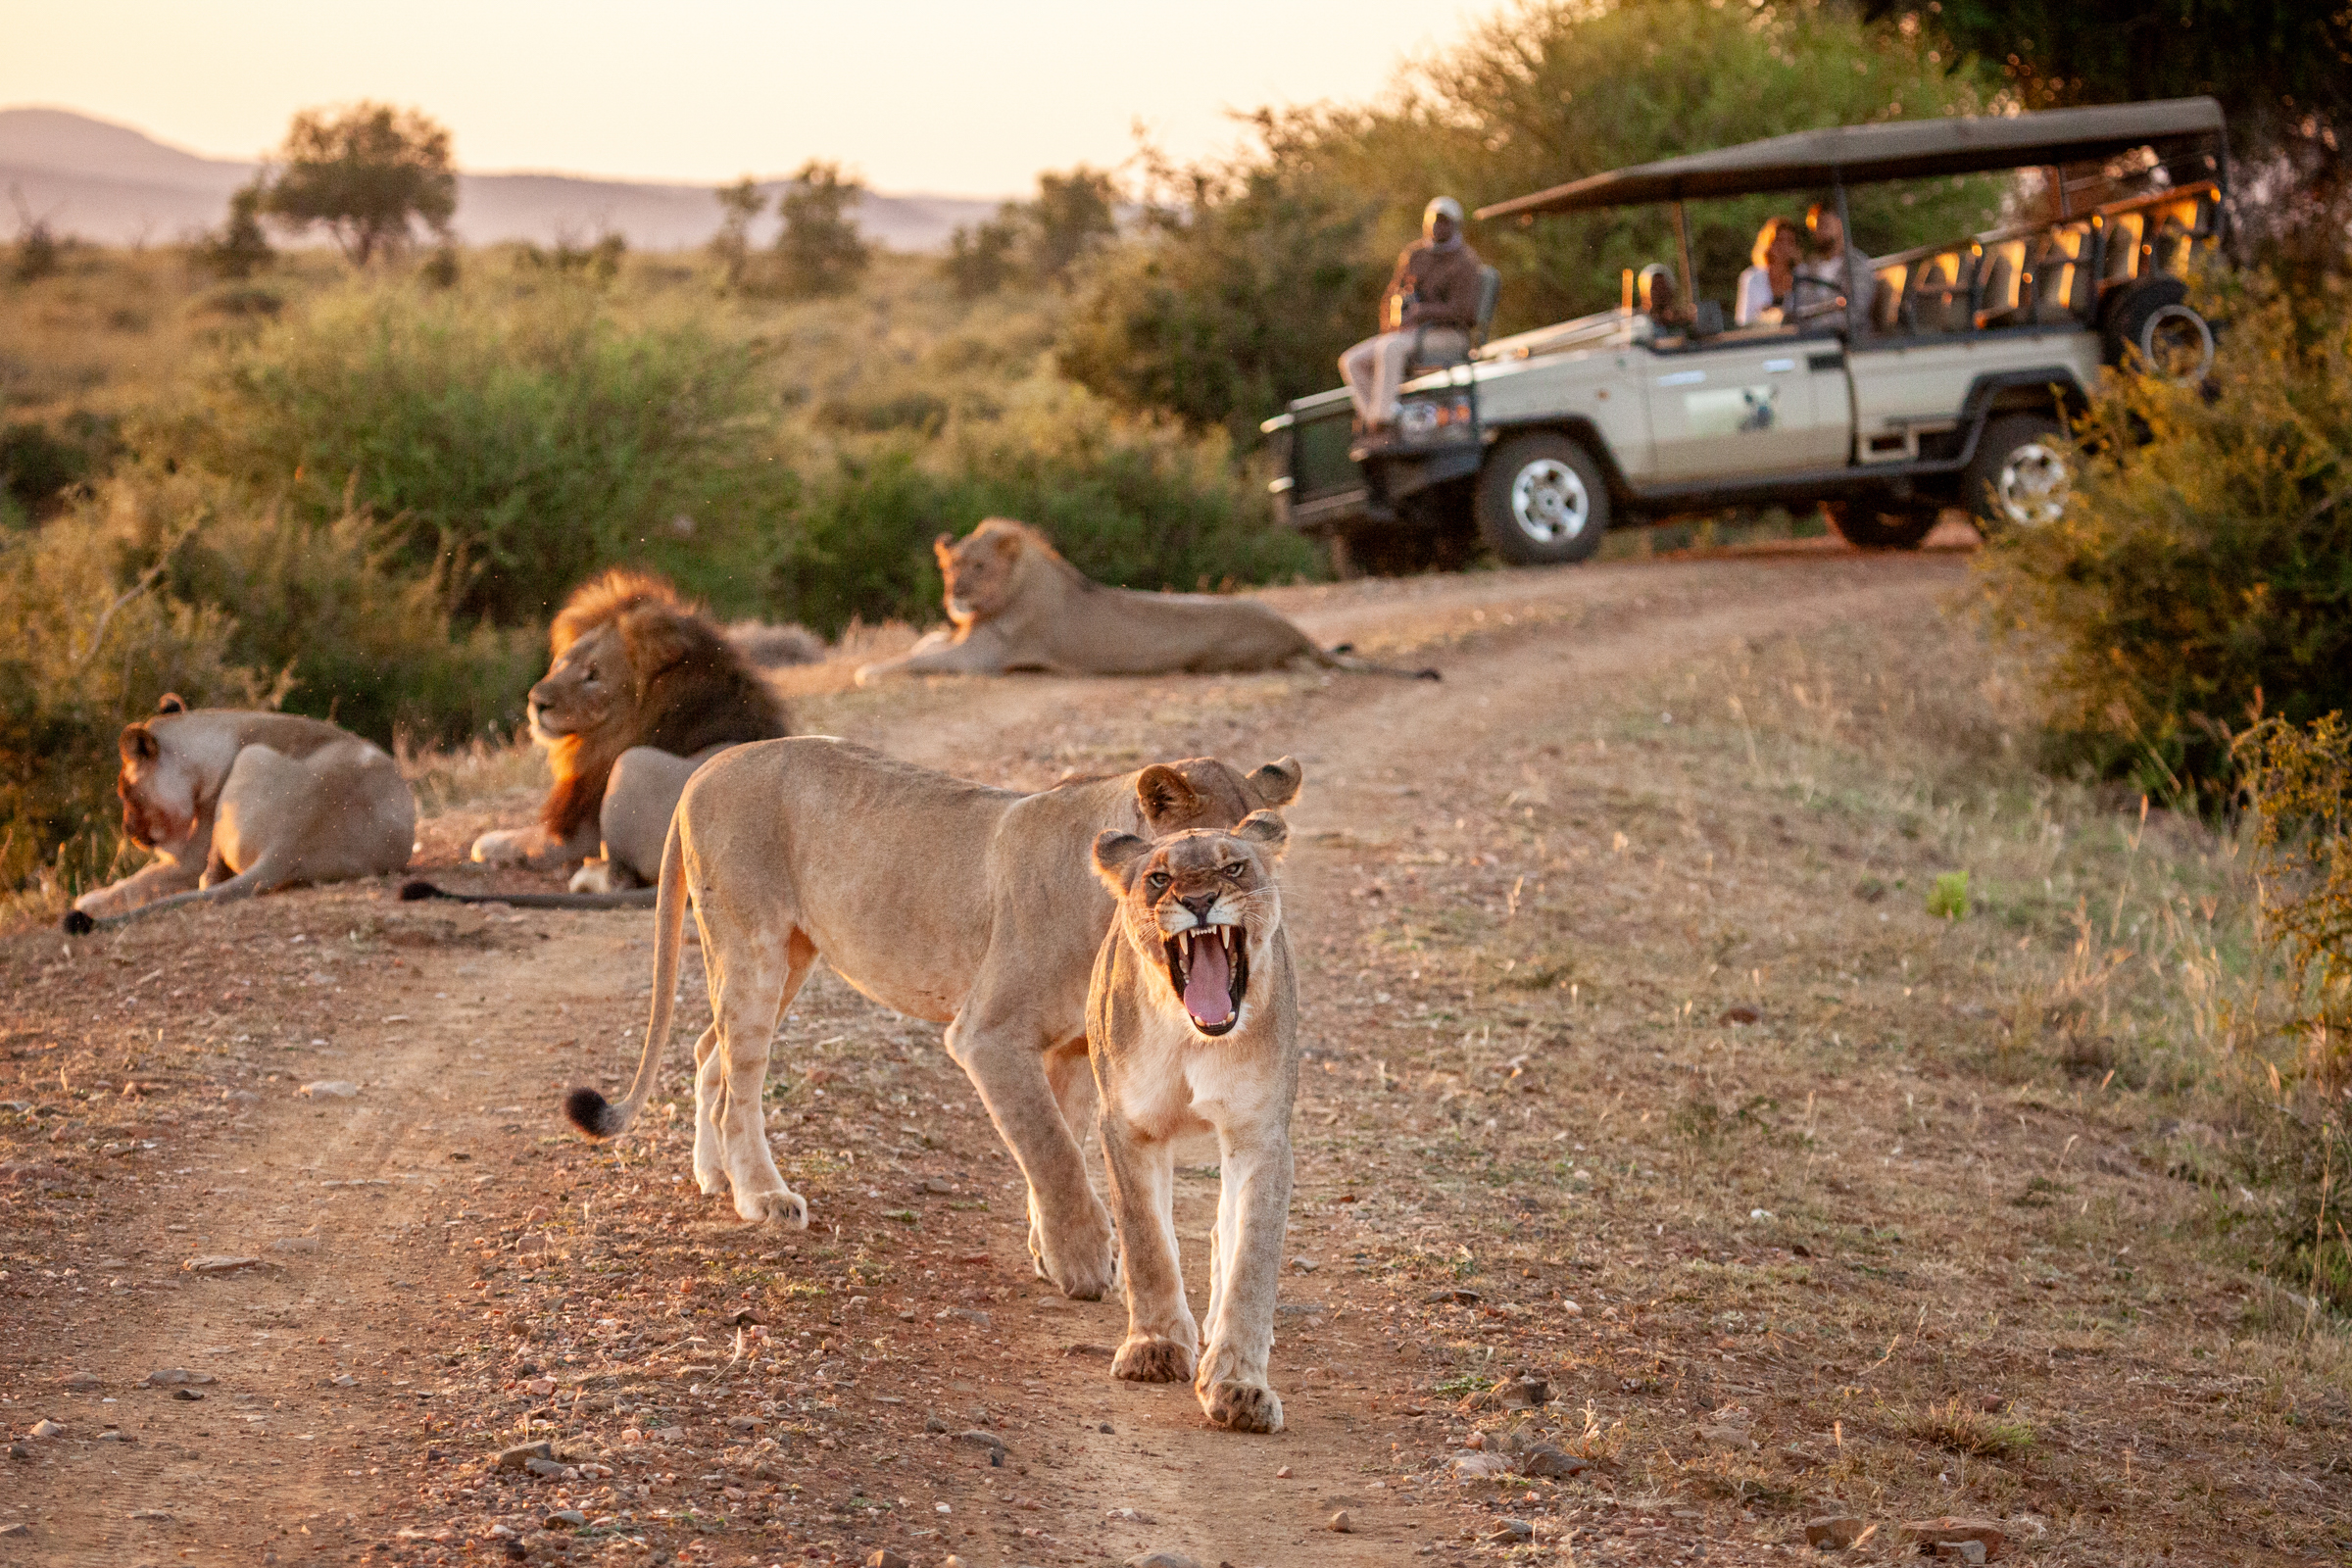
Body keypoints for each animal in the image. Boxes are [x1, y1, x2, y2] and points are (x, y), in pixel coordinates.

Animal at [62, 696, 416, 934]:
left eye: (125, 793)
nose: (127, 830)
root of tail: (288, 845)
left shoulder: (190, 858)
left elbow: (138, 882)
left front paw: (88, 901)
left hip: (250, 757)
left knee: (207, 881)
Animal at [468, 570, 791, 893]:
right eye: (562, 662)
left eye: (593, 675)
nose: (536, 702)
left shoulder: (578, 834)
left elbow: (524, 839)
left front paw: (488, 841)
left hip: (631, 763)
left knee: (619, 880)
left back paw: (585, 875)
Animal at [561, 737, 1302, 1303]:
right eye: (1213, 860)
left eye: (1259, 859)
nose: (1240, 904)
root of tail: (706, 770)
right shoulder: (986, 1034)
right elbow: (1053, 1151)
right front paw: (1086, 1261)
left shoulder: (1066, 1048)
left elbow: (1054, 1141)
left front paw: (1048, 1248)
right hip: (754, 948)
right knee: (739, 1080)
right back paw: (761, 1196)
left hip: (790, 957)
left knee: (705, 1050)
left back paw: (712, 1175)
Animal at [852, 519, 1438, 684]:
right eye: (950, 567)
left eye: (976, 567)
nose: (955, 595)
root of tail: (1297, 631)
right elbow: (925, 643)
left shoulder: (983, 658)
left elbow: (916, 659)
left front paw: (867, 671)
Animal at [1087, 811, 1298, 1432]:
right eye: (1159, 878)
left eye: (1235, 868)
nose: (1201, 901)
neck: (1194, 1037)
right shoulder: (1128, 1127)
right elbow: (1147, 1241)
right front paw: (1154, 1346)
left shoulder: (1260, 1137)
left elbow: (1252, 1261)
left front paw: (1240, 1386)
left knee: (1225, 1229)